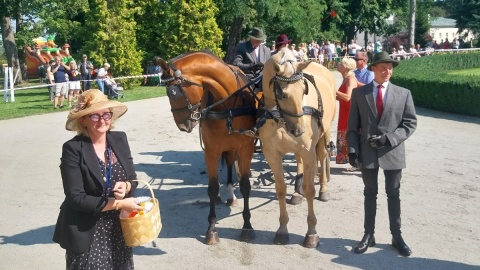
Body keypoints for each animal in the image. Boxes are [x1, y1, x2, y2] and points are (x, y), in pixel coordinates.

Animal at [156, 50, 256, 245]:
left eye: (173, 92)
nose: (182, 125)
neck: (228, 105)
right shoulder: (211, 151)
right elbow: (212, 187)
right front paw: (211, 229)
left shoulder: (246, 149)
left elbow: (245, 185)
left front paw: (247, 225)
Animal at [258, 47, 334, 248]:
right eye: (282, 94)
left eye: (303, 90)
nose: (299, 130)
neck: (280, 120)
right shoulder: (272, 154)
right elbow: (280, 189)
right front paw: (282, 229)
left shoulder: (308, 152)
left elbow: (310, 189)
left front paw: (312, 232)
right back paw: (296, 193)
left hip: (324, 134)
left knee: (323, 157)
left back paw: (324, 189)